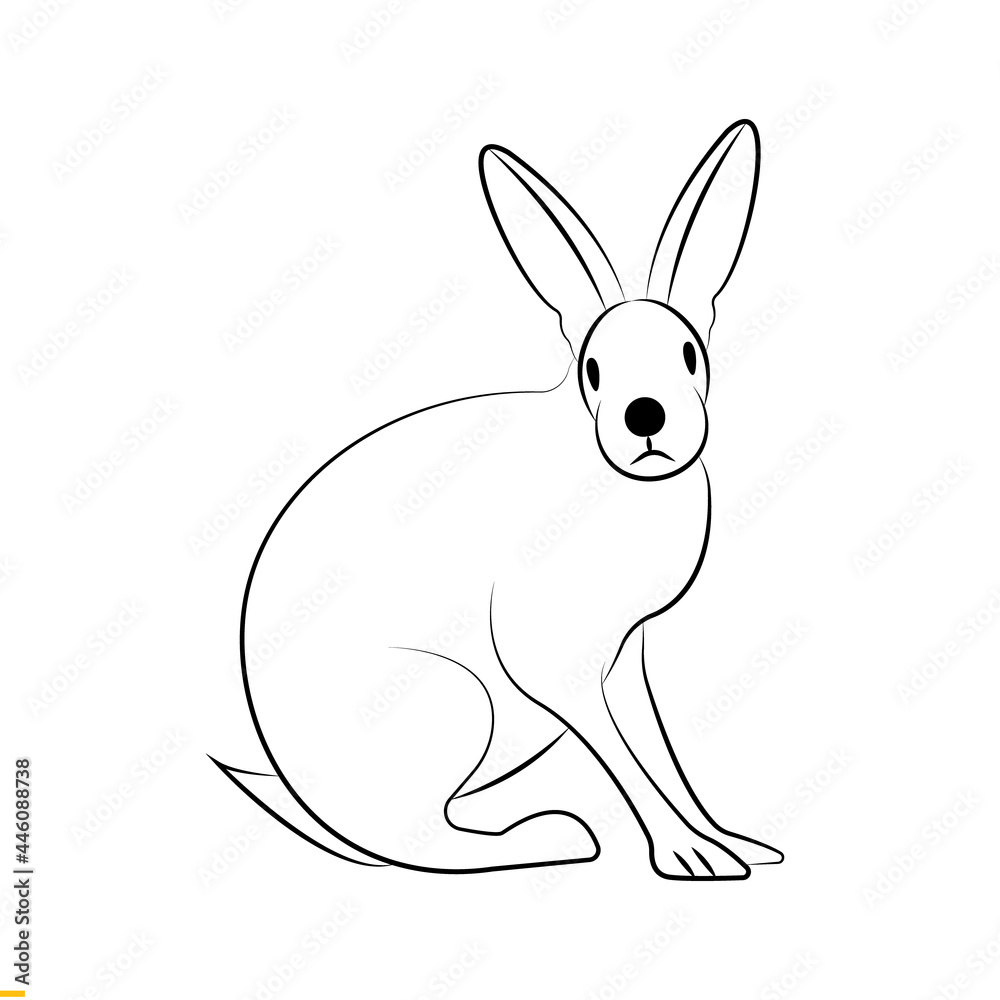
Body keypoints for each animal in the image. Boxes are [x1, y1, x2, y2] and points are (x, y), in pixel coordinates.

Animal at [213, 119, 784, 880]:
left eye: (691, 354)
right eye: (592, 369)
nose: (646, 416)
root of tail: (307, 799)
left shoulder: (625, 656)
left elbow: (658, 749)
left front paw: (732, 844)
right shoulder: (551, 659)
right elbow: (624, 758)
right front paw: (688, 855)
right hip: (457, 702)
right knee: (420, 837)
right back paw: (559, 839)